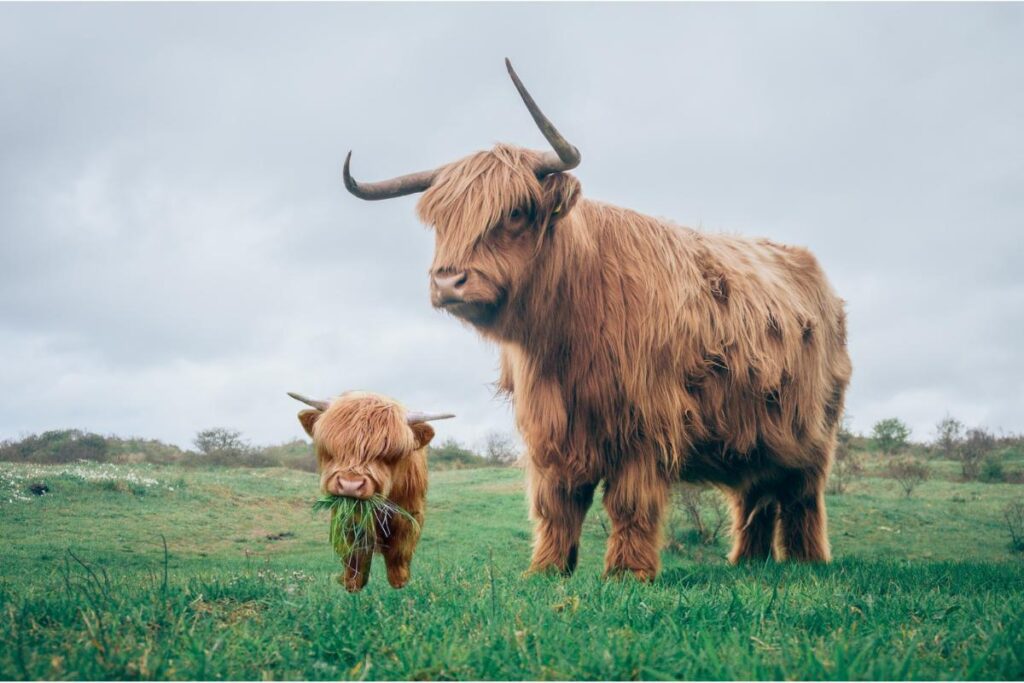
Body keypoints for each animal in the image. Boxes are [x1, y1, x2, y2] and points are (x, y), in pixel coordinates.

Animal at [286, 393, 450, 589]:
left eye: (389, 454)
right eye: (331, 448)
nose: (350, 485)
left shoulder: (409, 512)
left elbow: (400, 549)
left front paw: (399, 583)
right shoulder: (350, 518)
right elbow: (355, 551)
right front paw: (351, 585)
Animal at [339, 61, 851, 581]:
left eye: (516, 212)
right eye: (442, 221)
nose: (447, 281)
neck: (566, 334)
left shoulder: (644, 423)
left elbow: (629, 503)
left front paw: (627, 573)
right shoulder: (550, 429)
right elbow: (557, 503)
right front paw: (546, 570)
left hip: (812, 433)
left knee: (801, 497)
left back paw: (806, 561)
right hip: (757, 434)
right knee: (755, 496)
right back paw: (748, 562)